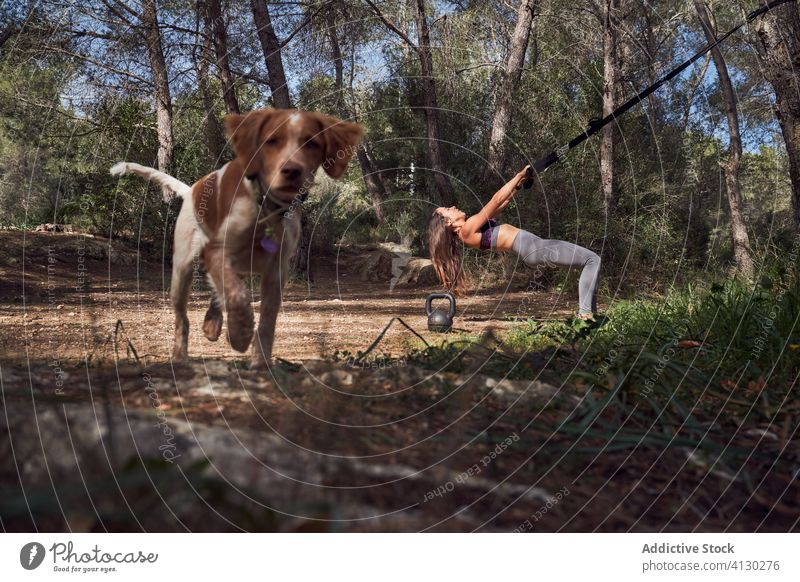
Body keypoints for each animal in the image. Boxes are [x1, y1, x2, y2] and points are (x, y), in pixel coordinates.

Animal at [110, 107, 366, 368]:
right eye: (271, 141)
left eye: (311, 143)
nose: (292, 171)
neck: (267, 208)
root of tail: (192, 190)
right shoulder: (217, 250)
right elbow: (238, 296)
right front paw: (240, 335)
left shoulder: (277, 269)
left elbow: (267, 320)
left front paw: (261, 361)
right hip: (182, 271)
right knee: (184, 318)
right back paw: (181, 355)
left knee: (218, 292)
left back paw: (212, 325)